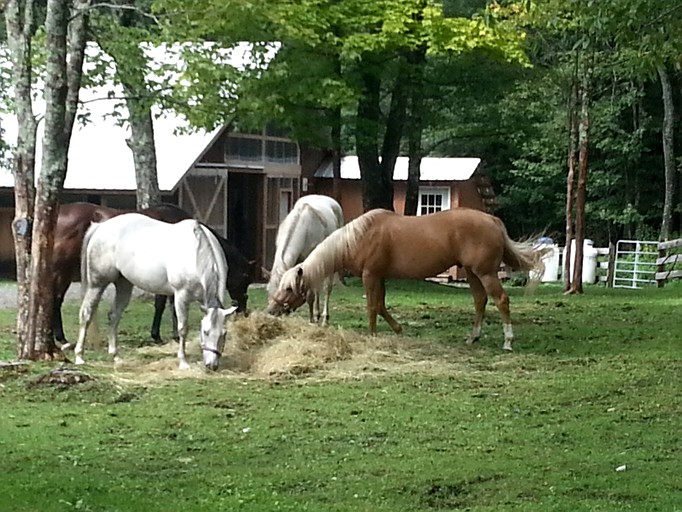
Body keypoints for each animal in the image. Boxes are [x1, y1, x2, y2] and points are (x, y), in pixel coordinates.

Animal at [71, 214, 236, 370]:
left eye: (224, 334)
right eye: (205, 332)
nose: (212, 365)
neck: (196, 253)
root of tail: (100, 227)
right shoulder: (181, 297)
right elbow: (183, 328)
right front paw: (183, 362)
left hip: (124, 285)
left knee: (114, 316)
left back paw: (116, 356)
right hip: (97, 284)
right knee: (86, 314)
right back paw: (79, 357)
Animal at [262, 194, 342, 326]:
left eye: (286, 290)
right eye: (268, 290)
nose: (273, 312)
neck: (303, 228)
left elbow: (310, 295)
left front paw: (311, 320)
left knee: (327, 288)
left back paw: (324, 318)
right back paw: (317, 314)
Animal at [268, 208, 544, 352]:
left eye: (289, 288)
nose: (272, 310)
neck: (359, 237)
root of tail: (493, 221)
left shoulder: (370, 275)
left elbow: (372, 306)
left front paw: (372, 335)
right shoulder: (380, 276)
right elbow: (381, 305)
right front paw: (397, 329)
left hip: (485, 273)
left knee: (501, 300)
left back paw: (508, 341)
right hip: (473, 273)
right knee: (480, 301)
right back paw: (472, 337)